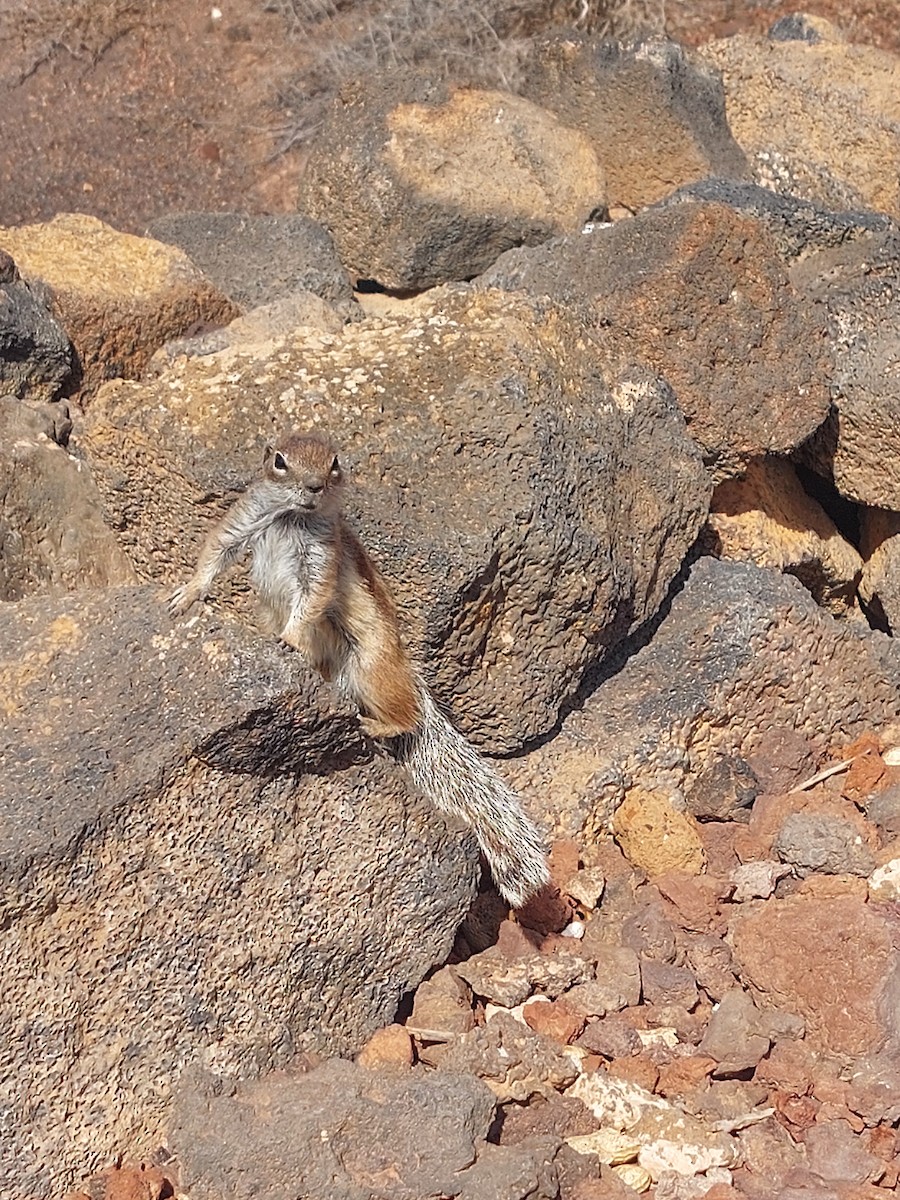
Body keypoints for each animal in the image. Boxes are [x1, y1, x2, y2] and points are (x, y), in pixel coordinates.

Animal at [169, 431, 549, 908]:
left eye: (334, 463)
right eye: (280, 461)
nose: (314, 486)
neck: (293, 519)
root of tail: (408, 674)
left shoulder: (321, 561)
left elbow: (311, 600)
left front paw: (290, 638)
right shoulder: (243, 521)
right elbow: (216, 550)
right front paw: (186, 594)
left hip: (369, 670)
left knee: (407, 717)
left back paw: (374, 725)